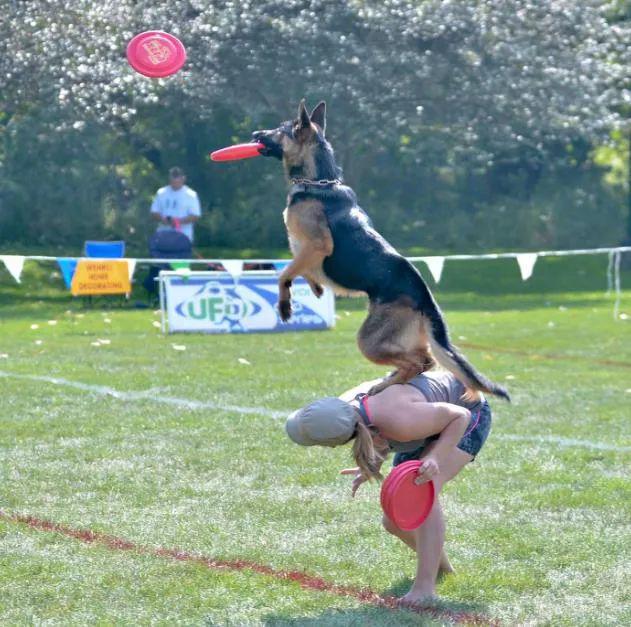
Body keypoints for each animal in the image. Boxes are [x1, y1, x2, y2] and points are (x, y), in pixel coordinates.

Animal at [252, 100, 508, 400]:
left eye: (281, 129)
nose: (255, 133)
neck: (318, 181)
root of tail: (425, 298)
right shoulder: (306, 251)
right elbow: (298, 268)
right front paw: (314, 288)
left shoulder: (317, 245)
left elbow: (285, 274)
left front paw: (285, 306)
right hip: (402, 338)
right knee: (426, 360)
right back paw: (387, 382)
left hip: (369, 340)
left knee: (417, 362)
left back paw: (383, 385)